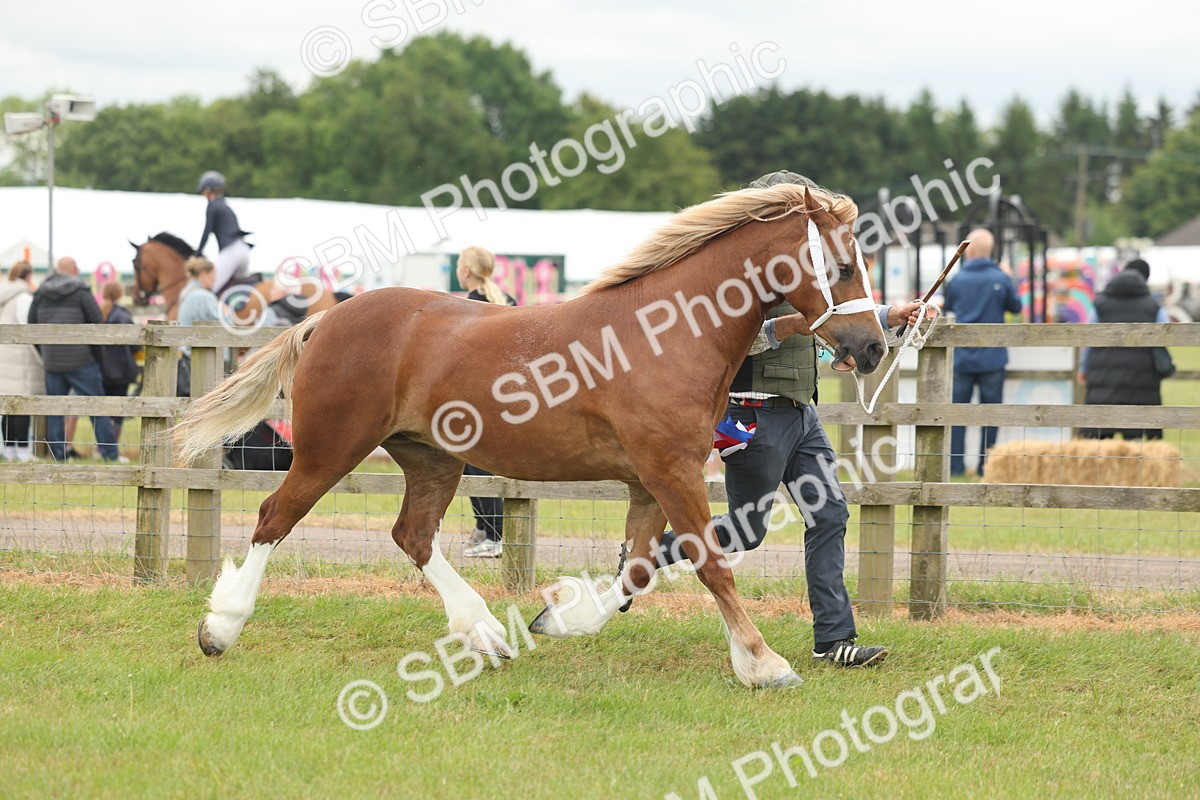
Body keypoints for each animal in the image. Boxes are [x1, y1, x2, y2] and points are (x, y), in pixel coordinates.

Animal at [172, 184, 887, 689]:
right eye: (842, 266)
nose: (874, 346)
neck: (666, 332)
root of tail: (325, 319)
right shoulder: (671, 471)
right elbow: (709, 562)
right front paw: (765, 664)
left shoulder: (651, 479)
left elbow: (637, 569)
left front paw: (562, 615)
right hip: (330, 450)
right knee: (275, 517)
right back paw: (220, 628)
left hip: (431, 459)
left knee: (413, 535)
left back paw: (487, 633)